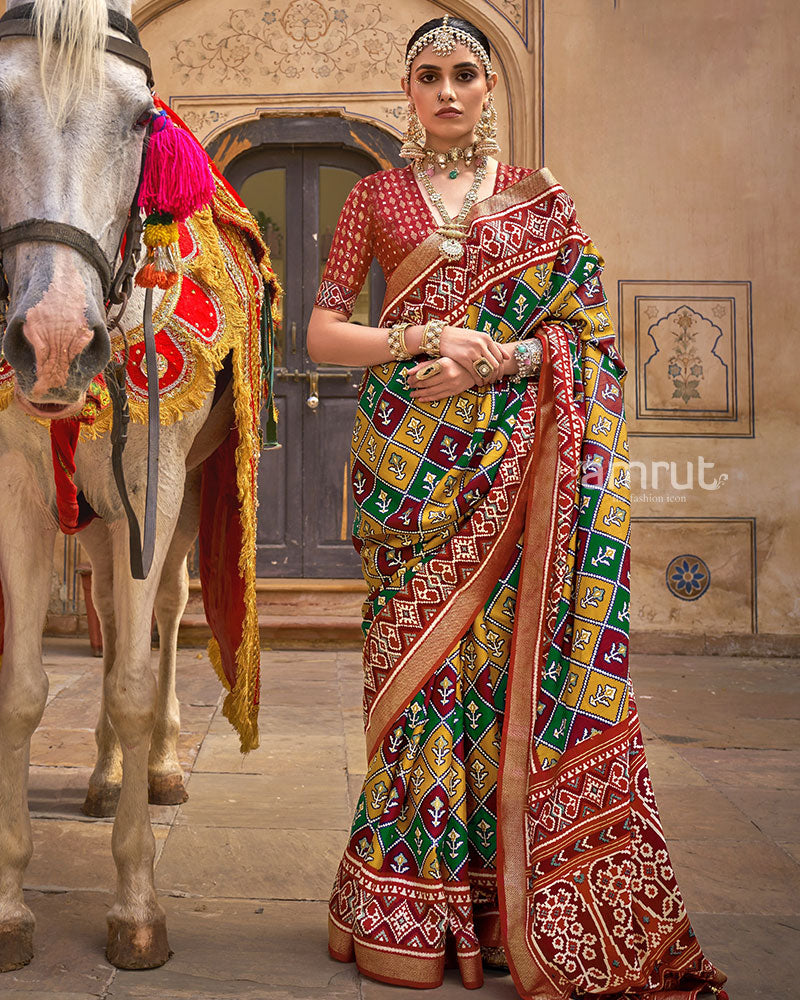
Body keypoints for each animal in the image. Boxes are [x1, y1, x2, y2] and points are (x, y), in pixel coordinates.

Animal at [0, 0, 268, 972]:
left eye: (137, 121)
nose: (52, 341)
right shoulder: (21, 490)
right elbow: (26, 690)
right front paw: (10, 909)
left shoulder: (153, 481)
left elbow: (130, 683)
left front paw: (137, 905)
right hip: (98, 514)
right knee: (114, 622)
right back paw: (108, 774)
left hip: (180, 500)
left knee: (164, 618)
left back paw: (158, 769)